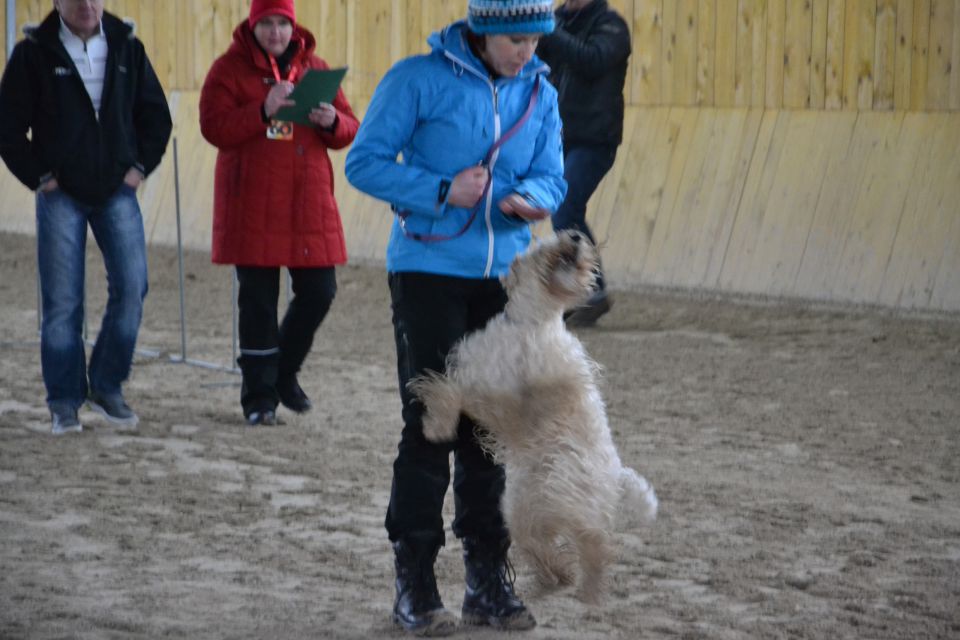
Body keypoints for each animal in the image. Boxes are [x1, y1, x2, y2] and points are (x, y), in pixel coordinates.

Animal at [408, 231, 656, 604]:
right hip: (522, 509)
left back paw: (589, 591)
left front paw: (436, 426)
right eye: (543, 243)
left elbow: (452, 391)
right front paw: (433, 414)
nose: (575, 236)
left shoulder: (503, 394)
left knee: (594, 542)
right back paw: (556, 575)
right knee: (541, 544)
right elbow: (446, 387)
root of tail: (615, 475)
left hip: (568, 493)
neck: (530, 323)